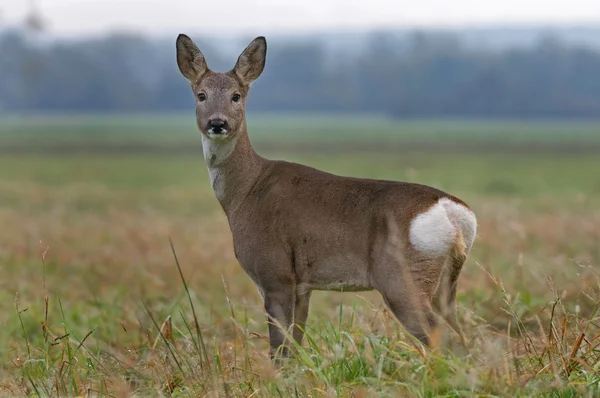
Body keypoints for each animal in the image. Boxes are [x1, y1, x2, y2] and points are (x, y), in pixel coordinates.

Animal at [175, 34, 478, 364]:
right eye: (201, 95)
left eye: (236, 96)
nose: (217, 123)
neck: (246, 192)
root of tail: (451, 211)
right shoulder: (302, 286)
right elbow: (294, 347)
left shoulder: (275, 273)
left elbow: (278, 350)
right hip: (446, 283)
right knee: (462, 337)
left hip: (402, 279)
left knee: (445, 339)